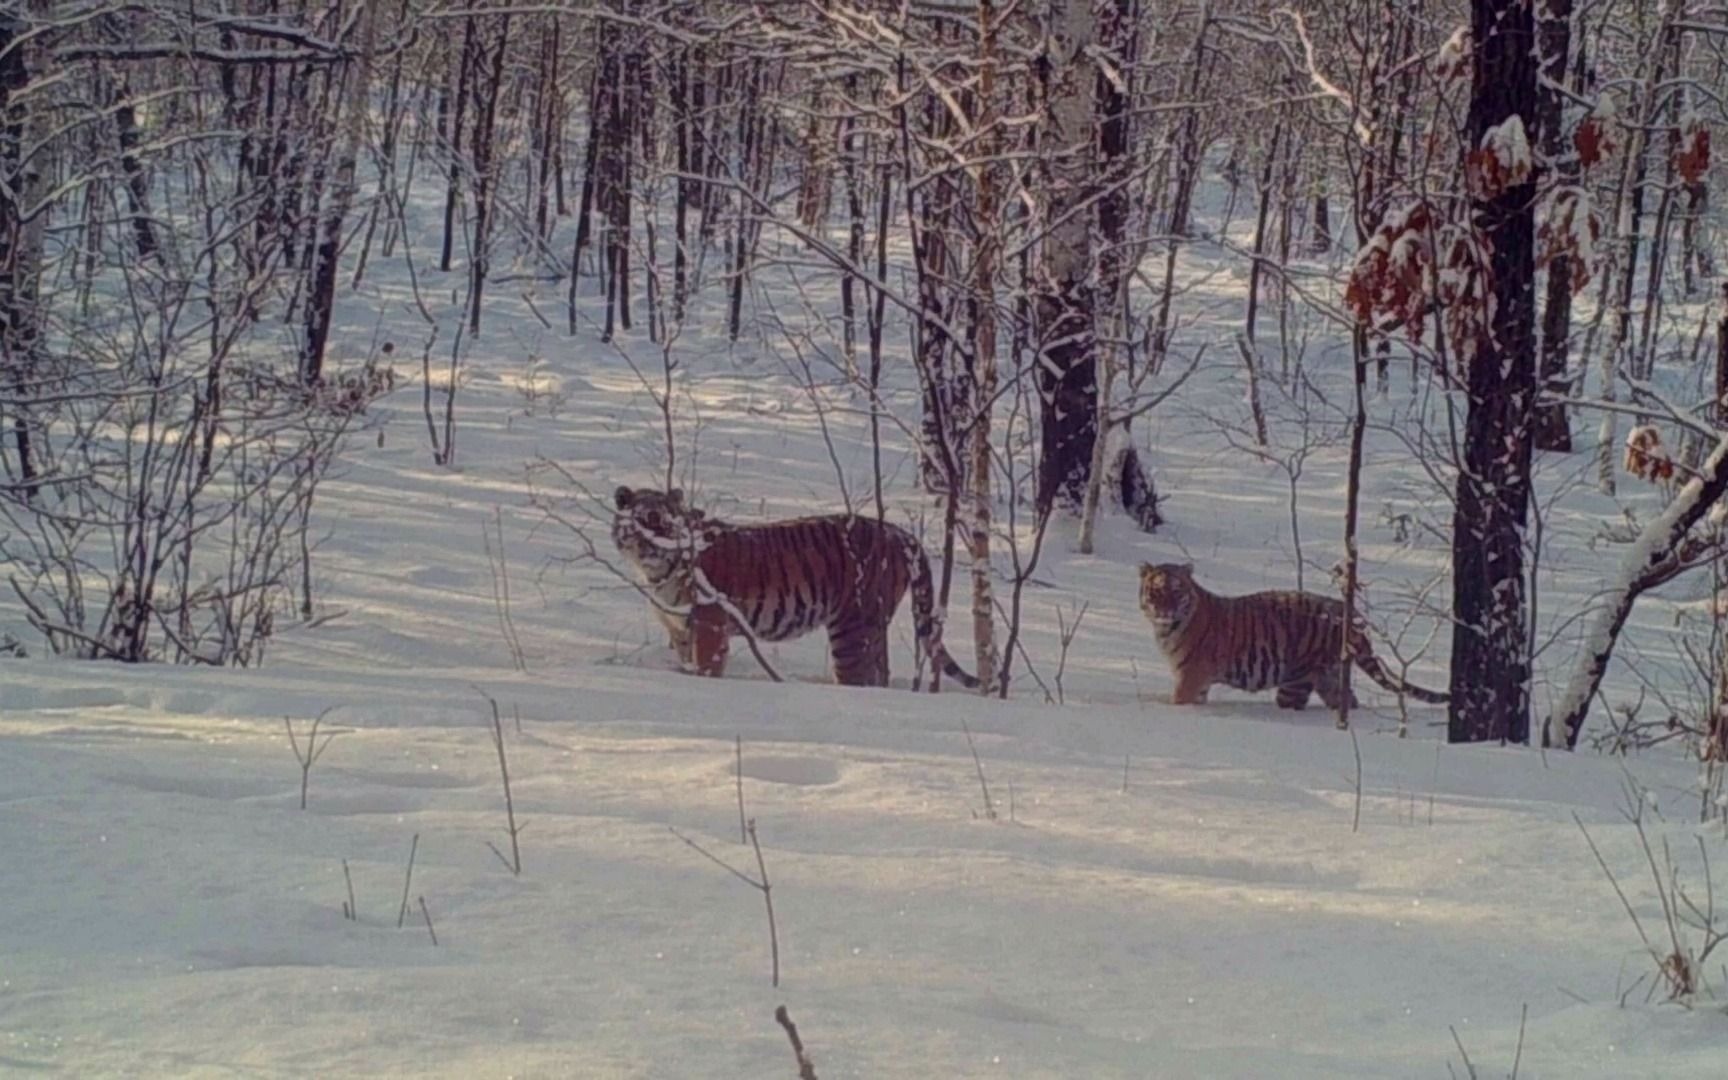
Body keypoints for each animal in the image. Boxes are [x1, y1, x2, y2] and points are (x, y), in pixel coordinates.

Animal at [615, 483, 981, 687]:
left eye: (666, 523)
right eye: (644, 521)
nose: (656, 546)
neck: (660, 573)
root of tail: (898, 532)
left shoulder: (710, 628)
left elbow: (706, 669)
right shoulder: (680, 630)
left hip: (852, 627)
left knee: (859, 678)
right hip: (871, 628)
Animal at [1140, 559, 1451, 711]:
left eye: (1176, 590)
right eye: (1156, 591)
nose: (1165, 610)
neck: (1166, 628)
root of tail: (1350, 614)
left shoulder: (1190, 679)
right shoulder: (1198, 684)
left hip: (1296, 680)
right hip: (1330, 676)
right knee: (1348, 701)